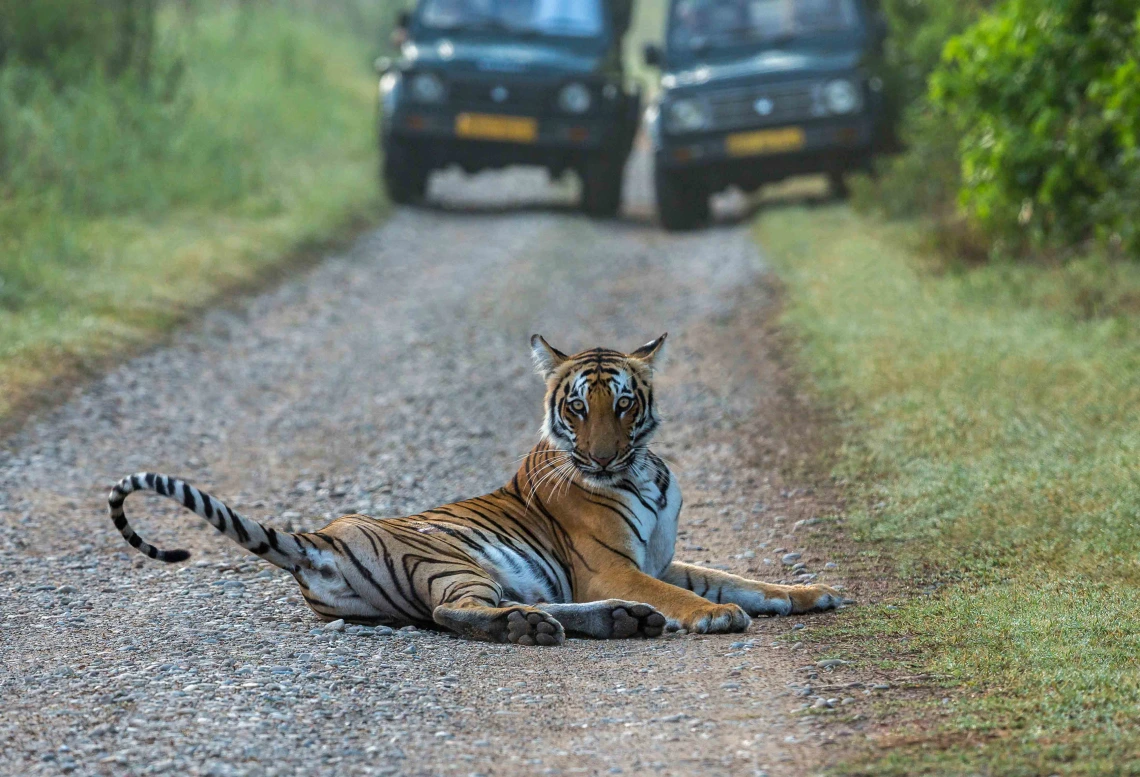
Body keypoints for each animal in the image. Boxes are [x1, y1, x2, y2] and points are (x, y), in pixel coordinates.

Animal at [111, 332, 848, 642]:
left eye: (624, 404)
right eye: (577, 406)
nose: (602, 456)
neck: (644, 469)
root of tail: (321, 538)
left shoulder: (662, 559)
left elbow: (740, 578)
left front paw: (809, 593)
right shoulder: (611, 566)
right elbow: (692, 595)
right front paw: (715, 616)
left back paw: (616, 621)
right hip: (454, 560)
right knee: (453, 614)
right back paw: (546, 627)